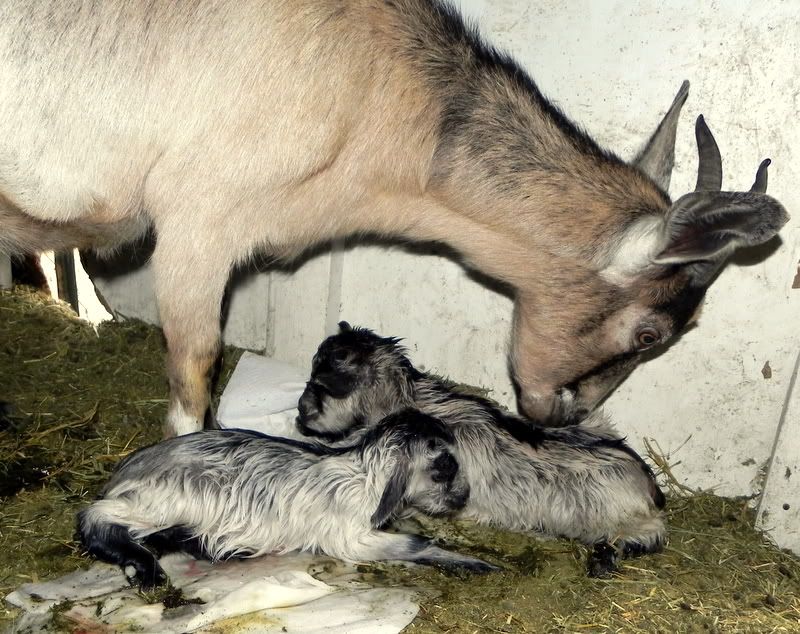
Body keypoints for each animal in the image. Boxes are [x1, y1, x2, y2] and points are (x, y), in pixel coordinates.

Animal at [77, 410, 495, 589]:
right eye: (445, 465)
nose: (462, 498)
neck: (365, 477)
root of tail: (125, 468)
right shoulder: (348, 536)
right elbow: (413, 543)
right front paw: (476, 562)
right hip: (174, 495)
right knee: (95, 516)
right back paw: (145, 568)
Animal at [297, 323, 667, 575]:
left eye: (320, 384)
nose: (301, 412)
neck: (411, 400)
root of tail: (649, 480)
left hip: (610, 514)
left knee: (652, 533)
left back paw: (606, 557)